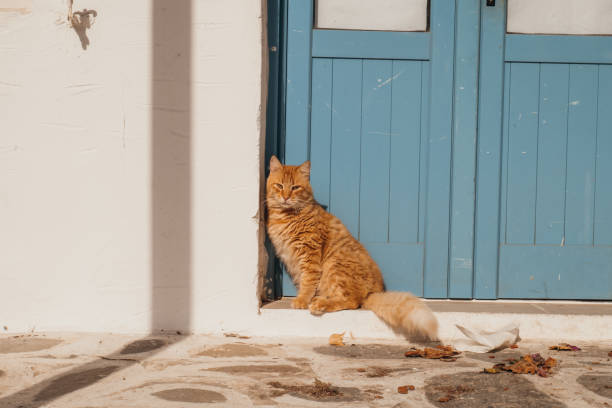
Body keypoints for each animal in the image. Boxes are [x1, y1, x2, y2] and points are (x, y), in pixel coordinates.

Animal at [266, 156, 438, 342]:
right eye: (279, 186)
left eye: (295, 187)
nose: (285, 197)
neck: (285, 216)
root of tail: (374, 291)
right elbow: (305, 282)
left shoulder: (309, 255)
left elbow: (308, 282)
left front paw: (302, 300)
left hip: (335, 263)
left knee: (351, 301)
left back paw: (320, 303)